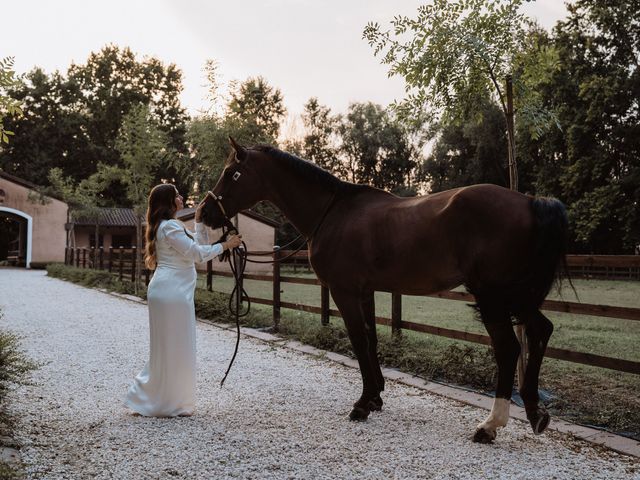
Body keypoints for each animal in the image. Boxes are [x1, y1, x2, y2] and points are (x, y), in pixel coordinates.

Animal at [202, 137, 568, 444]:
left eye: (232, 173)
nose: (204, 212)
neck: (332, 212)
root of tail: (530, 202)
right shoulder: (365, 291)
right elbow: (372, 339)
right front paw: (376, 396)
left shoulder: (344, 292)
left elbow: (359, 341)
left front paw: (363, 404)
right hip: (515, 295)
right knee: (540, 331)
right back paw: (534, 413)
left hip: (493, 295)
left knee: (508, 348)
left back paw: (490, 425)